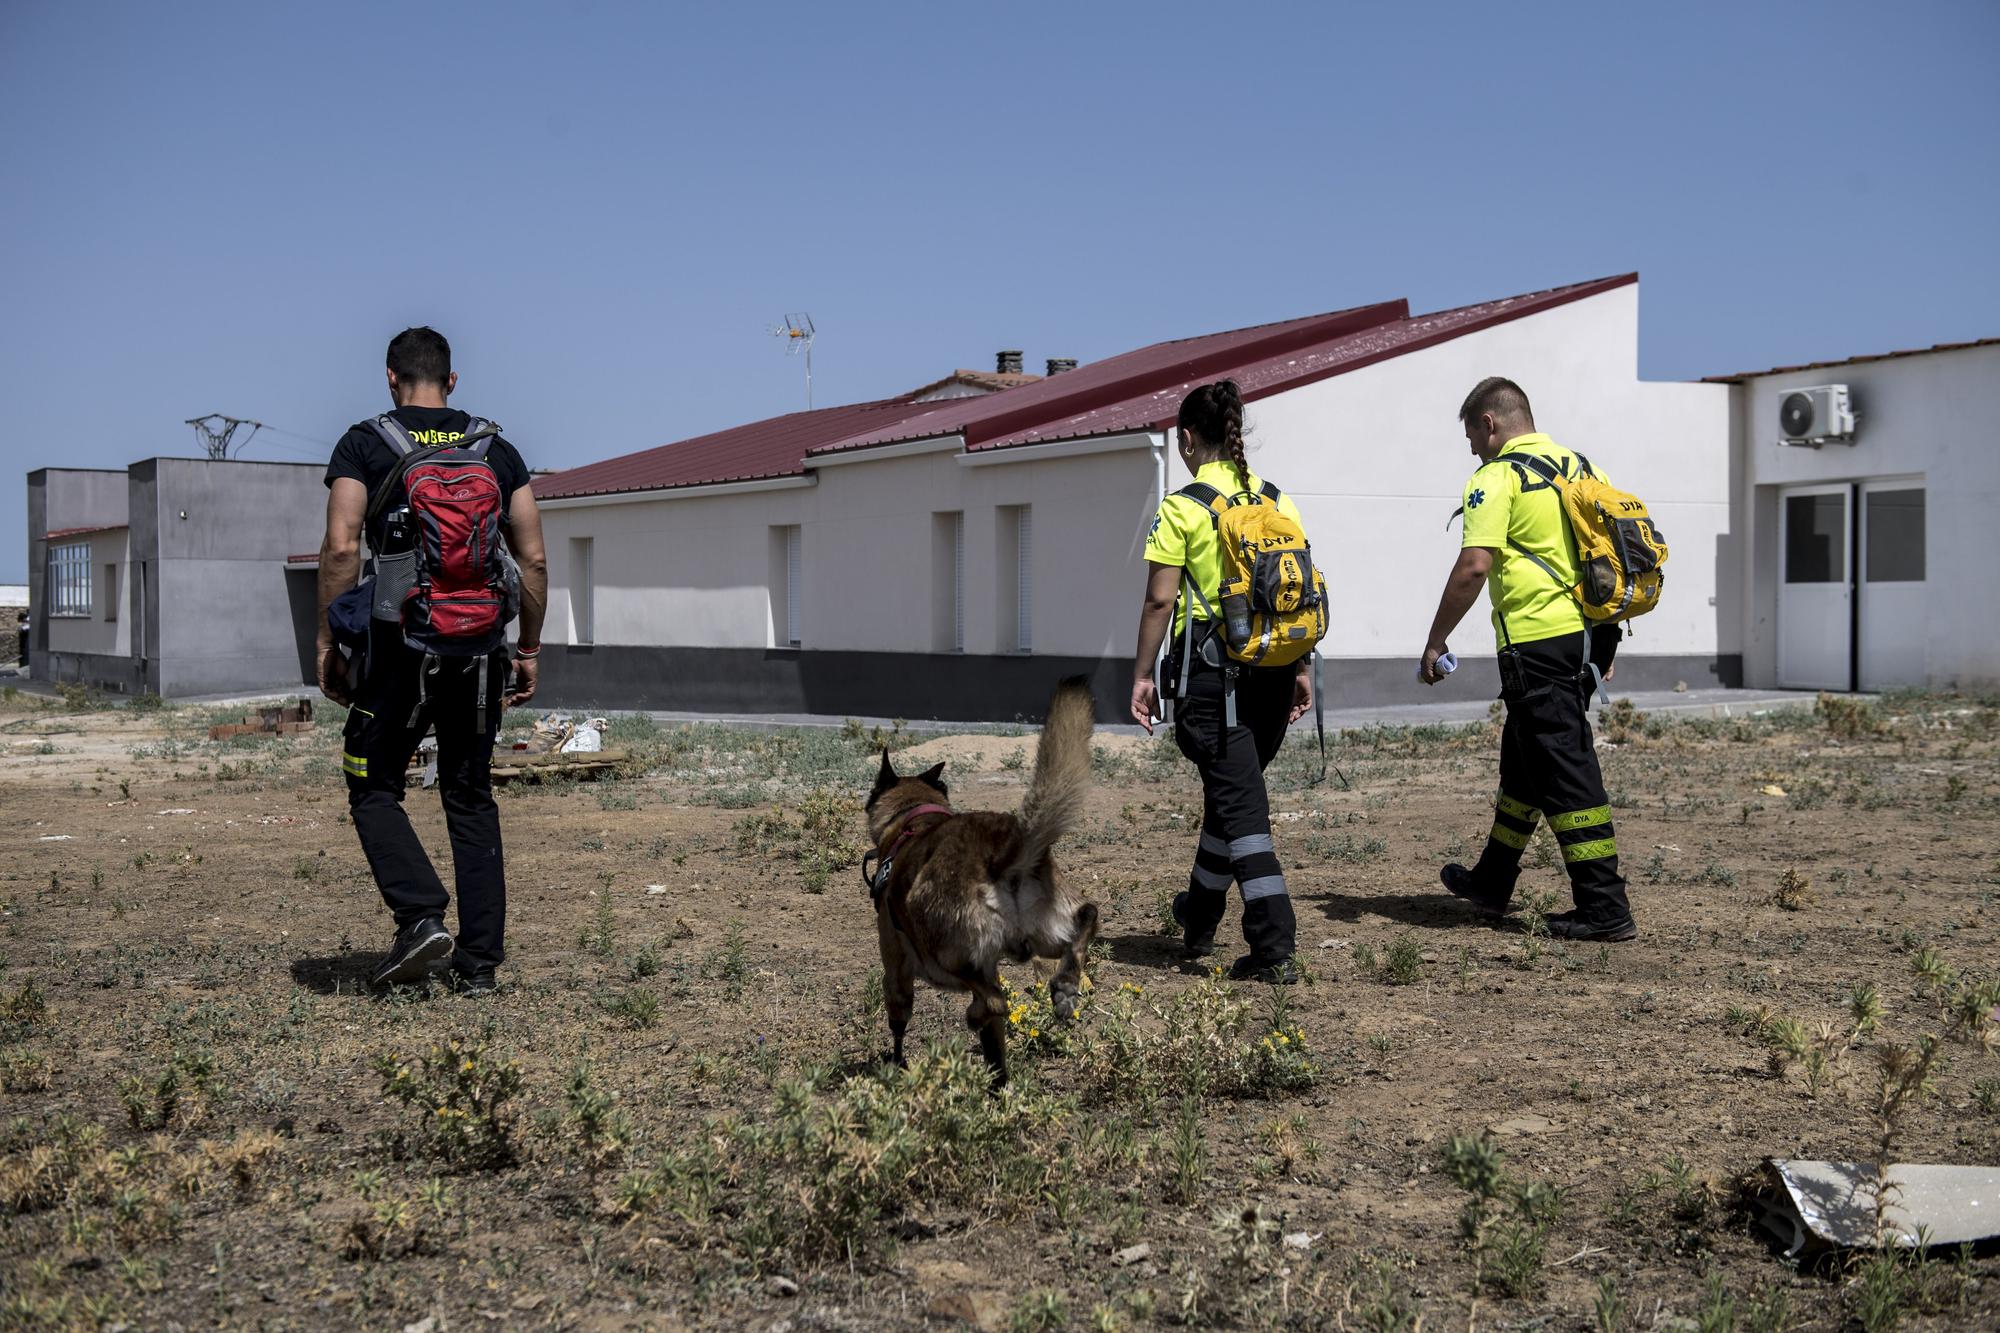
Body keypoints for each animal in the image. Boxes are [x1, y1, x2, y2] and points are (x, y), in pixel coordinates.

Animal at [864, 668, 1104, 1088]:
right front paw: (998, 1087)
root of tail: (1002, 849)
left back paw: (978, 1012)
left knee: (993, 1000)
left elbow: (898, 1020)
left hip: (945, 952)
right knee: (1086, 918)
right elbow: (996, 1051)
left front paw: (896, 1063)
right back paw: (1065, 986)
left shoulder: (894, 960)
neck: (914, 816)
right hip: (1047, 934)